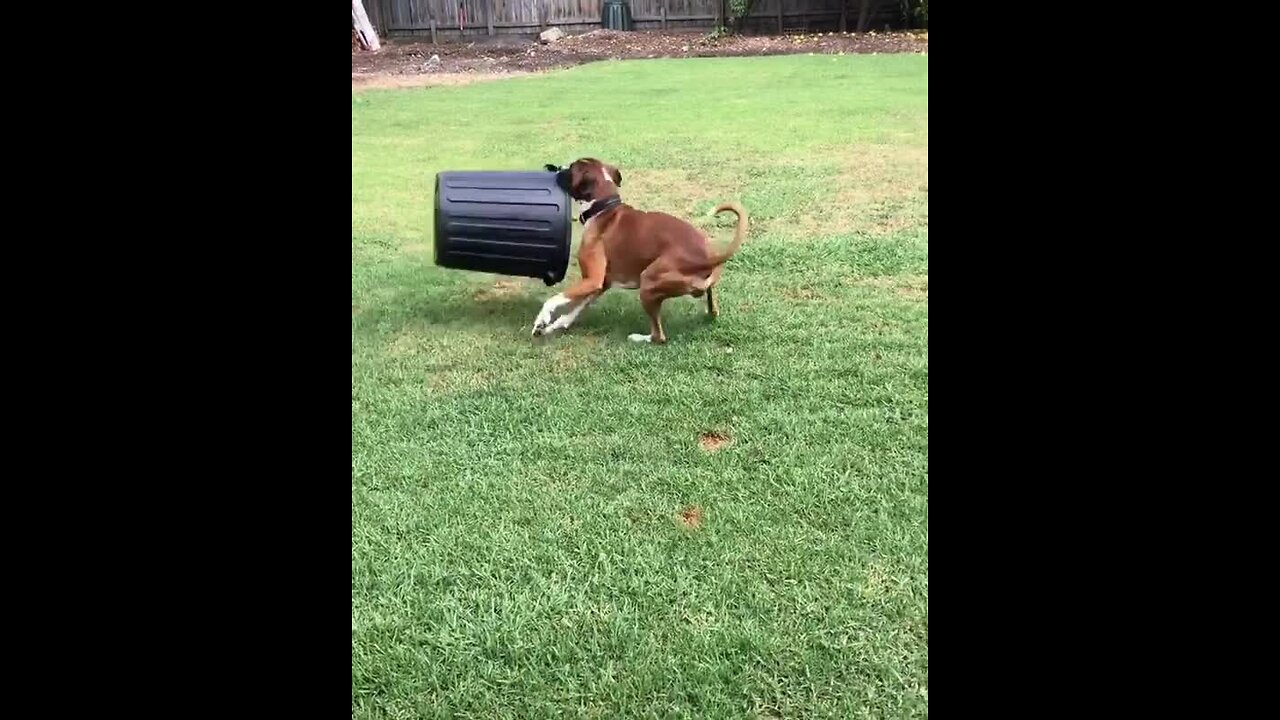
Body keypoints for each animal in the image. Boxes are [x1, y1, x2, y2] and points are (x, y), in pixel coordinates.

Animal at [532, 156, 747, 340]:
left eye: (571, 168)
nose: (552, 167)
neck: (603, 208)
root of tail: (707, 259)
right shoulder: (601, 283)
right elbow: (576, 309)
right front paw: (554, 325)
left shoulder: (592, 280)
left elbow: (554, 299)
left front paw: (542, 320)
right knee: (712, 310)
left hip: (648, 282)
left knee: (658, 336)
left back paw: (638, 338)